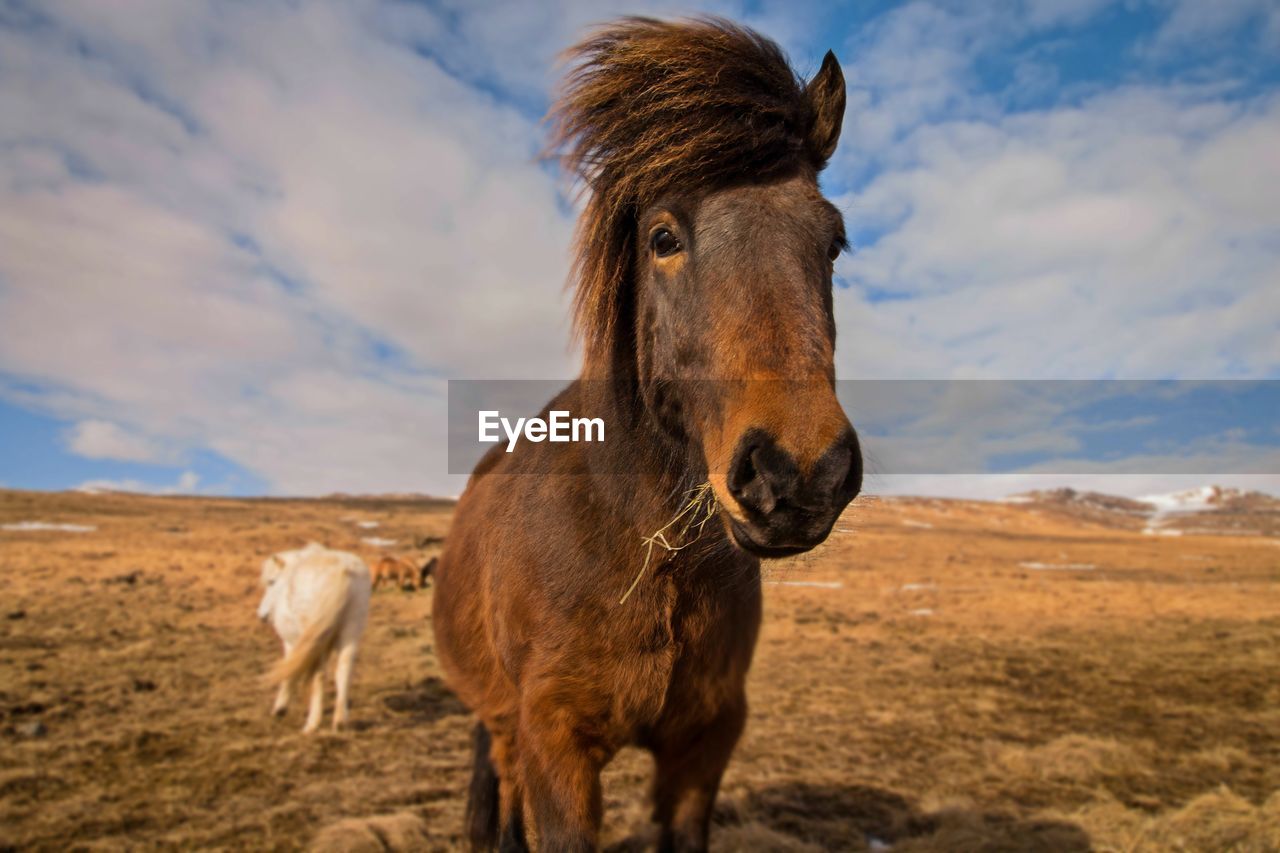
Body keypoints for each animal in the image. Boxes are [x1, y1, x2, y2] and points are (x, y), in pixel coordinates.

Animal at [256, 545, 373, 732]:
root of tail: (342, 570)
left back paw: (312, 723)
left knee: (318, 675)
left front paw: (280, 708)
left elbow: (291, 671)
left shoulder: (292, 643)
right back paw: (340, 721)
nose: (262, 615)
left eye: (271, 582)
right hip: (350, 632)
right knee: (344, 670)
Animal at [435, 16, 865, 845]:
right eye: (664, 237)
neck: (638, 544)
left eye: (832, 241)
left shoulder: (705, 744)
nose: (799, 474)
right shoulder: (555, 746)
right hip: (502, 722)